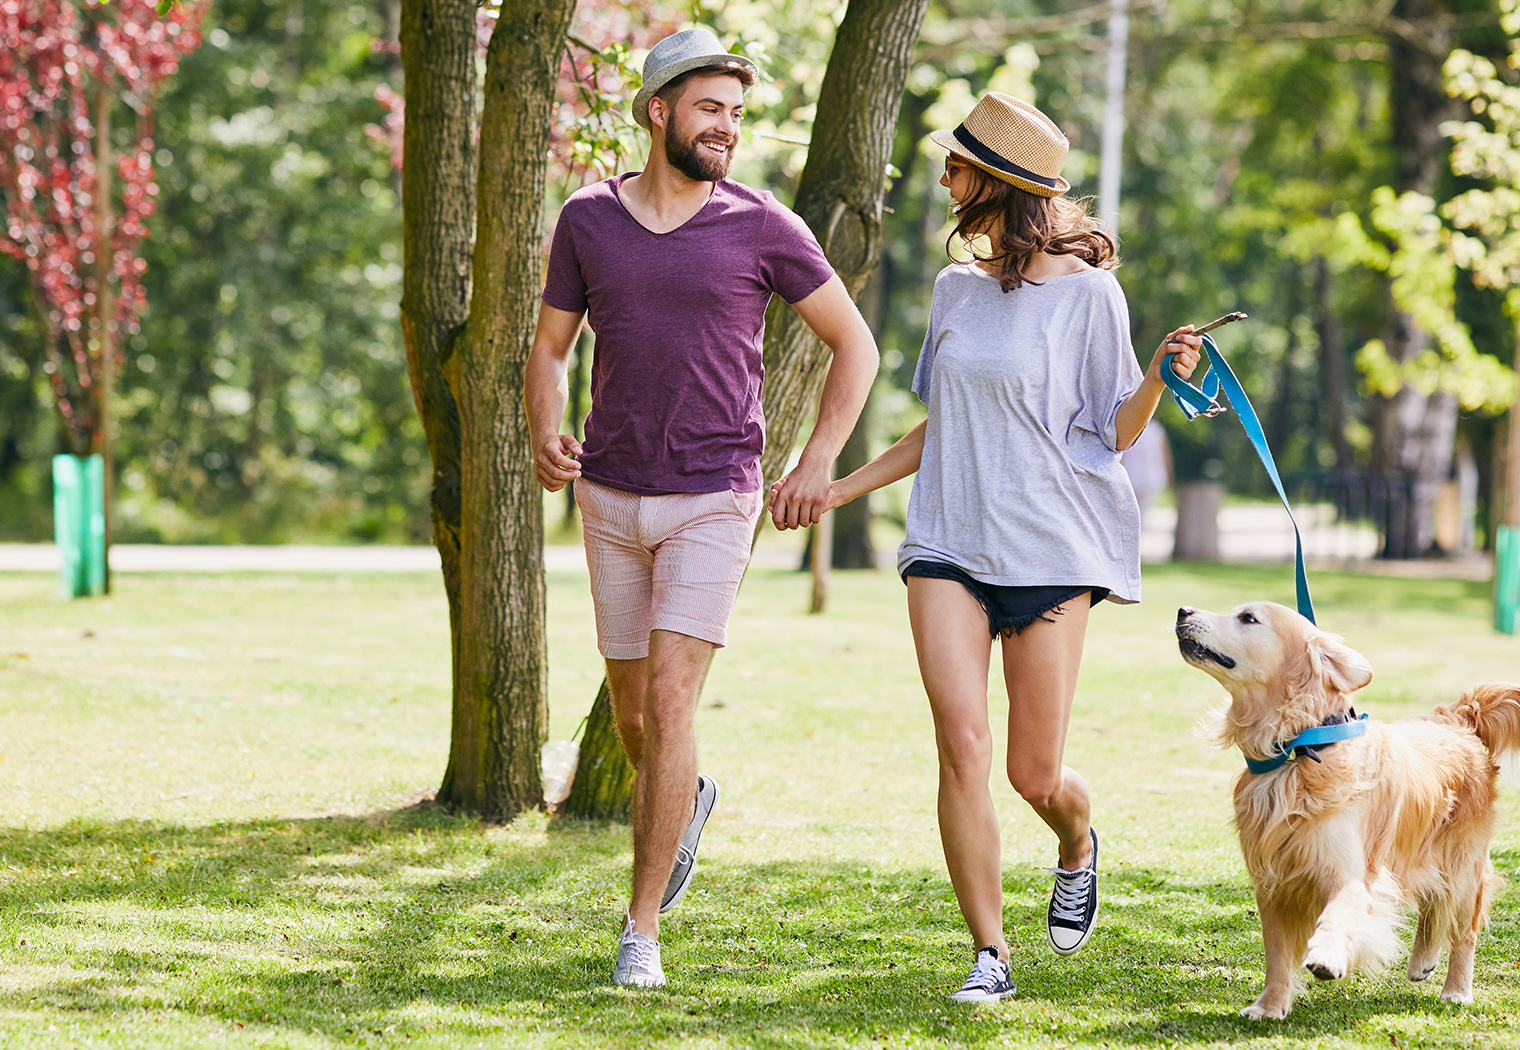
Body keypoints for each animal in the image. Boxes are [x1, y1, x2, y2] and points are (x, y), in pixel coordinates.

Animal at [1173, 604, 1520, 1021]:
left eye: (1248, 618)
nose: (1183, 610)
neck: (1298, 750)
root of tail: (1458, 719)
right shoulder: (1272, 884)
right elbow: (1276, 954)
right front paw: (1269, 1005)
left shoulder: (1350, 871)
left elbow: (1337, 913)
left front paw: (1327, 955)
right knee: (1432, 904)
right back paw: (1422, 961)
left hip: (1463, 864)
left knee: (1463, 927)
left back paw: (1456, 990)